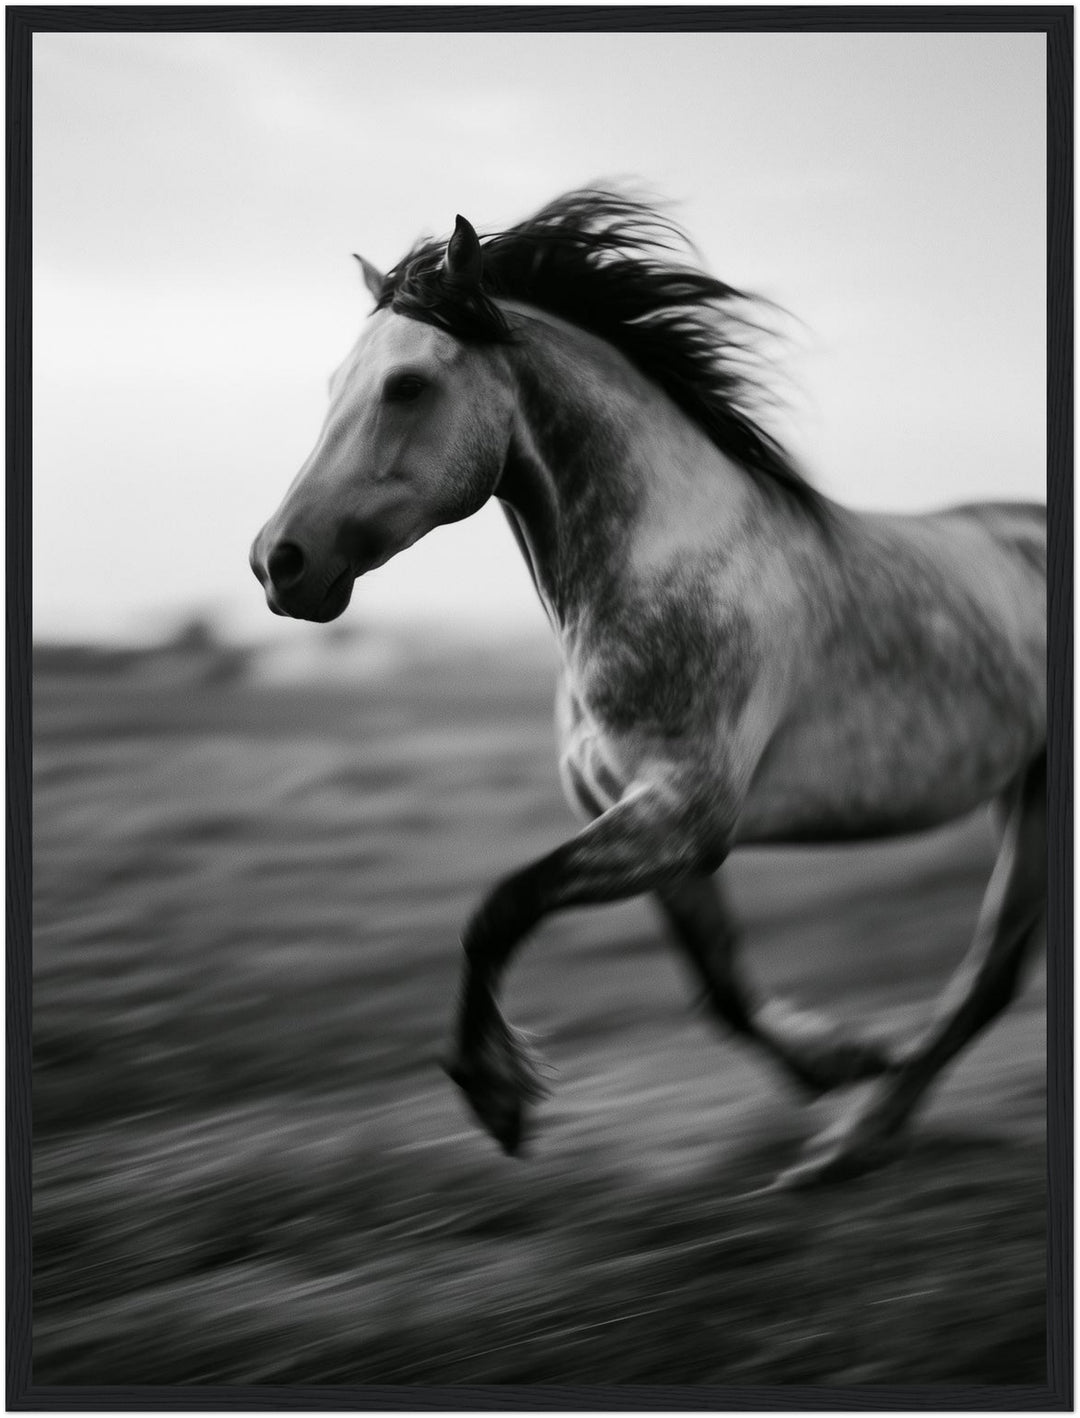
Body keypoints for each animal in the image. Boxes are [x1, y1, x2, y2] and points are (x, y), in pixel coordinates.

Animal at [250, 190, 1046, 1188]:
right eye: (333, 388)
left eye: (406, 386)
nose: (279, 563)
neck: (662, 567)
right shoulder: (643, 823)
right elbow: (719, 985)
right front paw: (839, 1059)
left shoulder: (682, 815)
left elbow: (497, 909)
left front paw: (497, 1096)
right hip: (1023, 787)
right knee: (993, 975)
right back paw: (855, 1135)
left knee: (990, 974)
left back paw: (849, 1143)